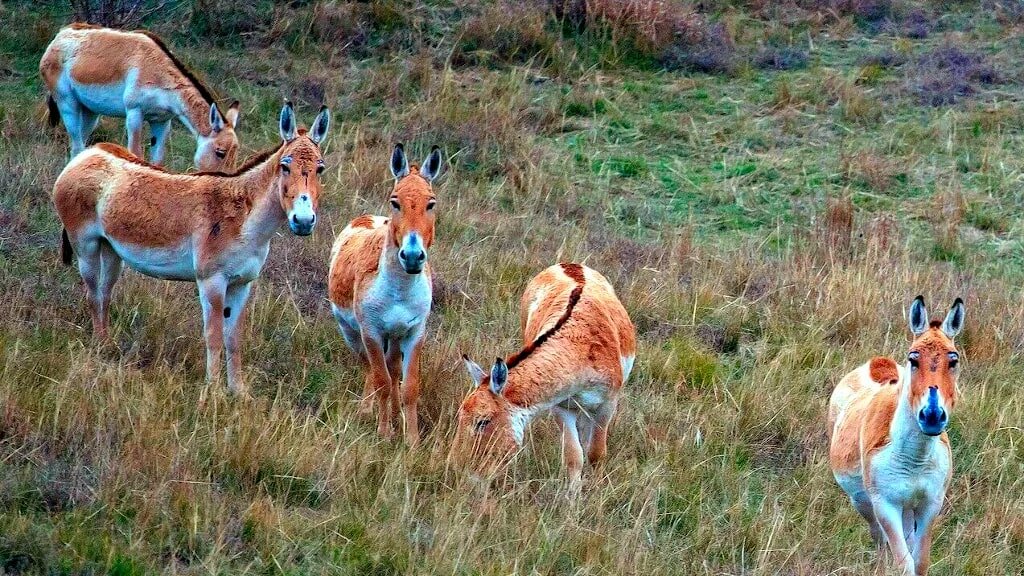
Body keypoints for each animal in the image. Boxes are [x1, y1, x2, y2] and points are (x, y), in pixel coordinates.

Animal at [40, 23, 240, 170]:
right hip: (68, 104)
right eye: (220, 152)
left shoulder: (162, 121)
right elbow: (135, 153)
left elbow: (158, 160)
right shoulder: (134, 113)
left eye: (235, 153)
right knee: (76, 146)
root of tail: (60, 35)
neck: (159, 72)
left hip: (90, 112)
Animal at [50, 101, 327, 389]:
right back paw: (98, 348)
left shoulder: (243, 283)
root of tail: (88, 153)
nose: (303, 221)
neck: (245, 220)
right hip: (85, 246)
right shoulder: (211, 280)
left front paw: (238, 391)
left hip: (112, 250)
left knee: (105, 293)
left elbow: (234, 338)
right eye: (285, 167)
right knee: (93, 294)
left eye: (320, 169)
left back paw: (107, 346)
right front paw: (213, 390)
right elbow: (214, 335)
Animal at [327, 143, 440, 444]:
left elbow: (409, 386)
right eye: (395, 201)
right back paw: (367, 411)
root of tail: (367, 217)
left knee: (392, 370)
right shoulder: (372, 332)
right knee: (370, 368)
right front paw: (385, 433)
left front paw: (411, 440)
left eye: (431, 203)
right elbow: (382, 381)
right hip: (351, 332)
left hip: (395, 337)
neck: (399, 290)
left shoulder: (415, 332)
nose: (412, 257)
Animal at [454, 262, 634, 485]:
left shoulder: (607, 405)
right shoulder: (561, 406)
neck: (579, 353)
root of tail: (568, 264)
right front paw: (573, 494)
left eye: (482, 421)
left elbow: (596, 454)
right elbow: (573, 457)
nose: (458, 470)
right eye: (459, 418)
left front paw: (596, 487)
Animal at [827, 295, 962, 573]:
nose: (932, 416)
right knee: (878, 539)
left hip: (908, 507)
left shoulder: (930, 504)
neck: (914, 459)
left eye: (953, 360)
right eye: (913, 358)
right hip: (864, 503)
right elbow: (904, 562)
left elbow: (919, 561)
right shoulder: (885, 506)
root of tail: (877, 362)